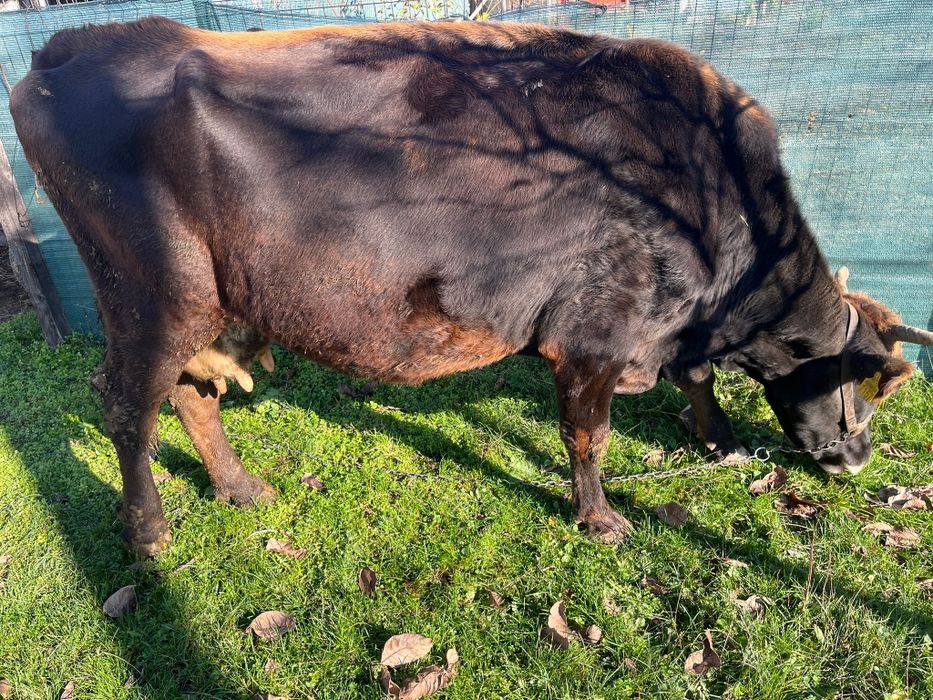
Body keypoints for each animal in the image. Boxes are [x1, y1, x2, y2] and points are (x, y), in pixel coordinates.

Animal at [10, 18, 932, 557]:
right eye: (863, 392)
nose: (857, 459)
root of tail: (69, 46)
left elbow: (696, 376)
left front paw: (714, 437)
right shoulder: (595, 335)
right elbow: (588, 436)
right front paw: (600, 518)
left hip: (209, 308)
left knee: (190, 394)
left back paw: (239, 488)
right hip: (153, 294)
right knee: (126, 404)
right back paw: (149, 532)